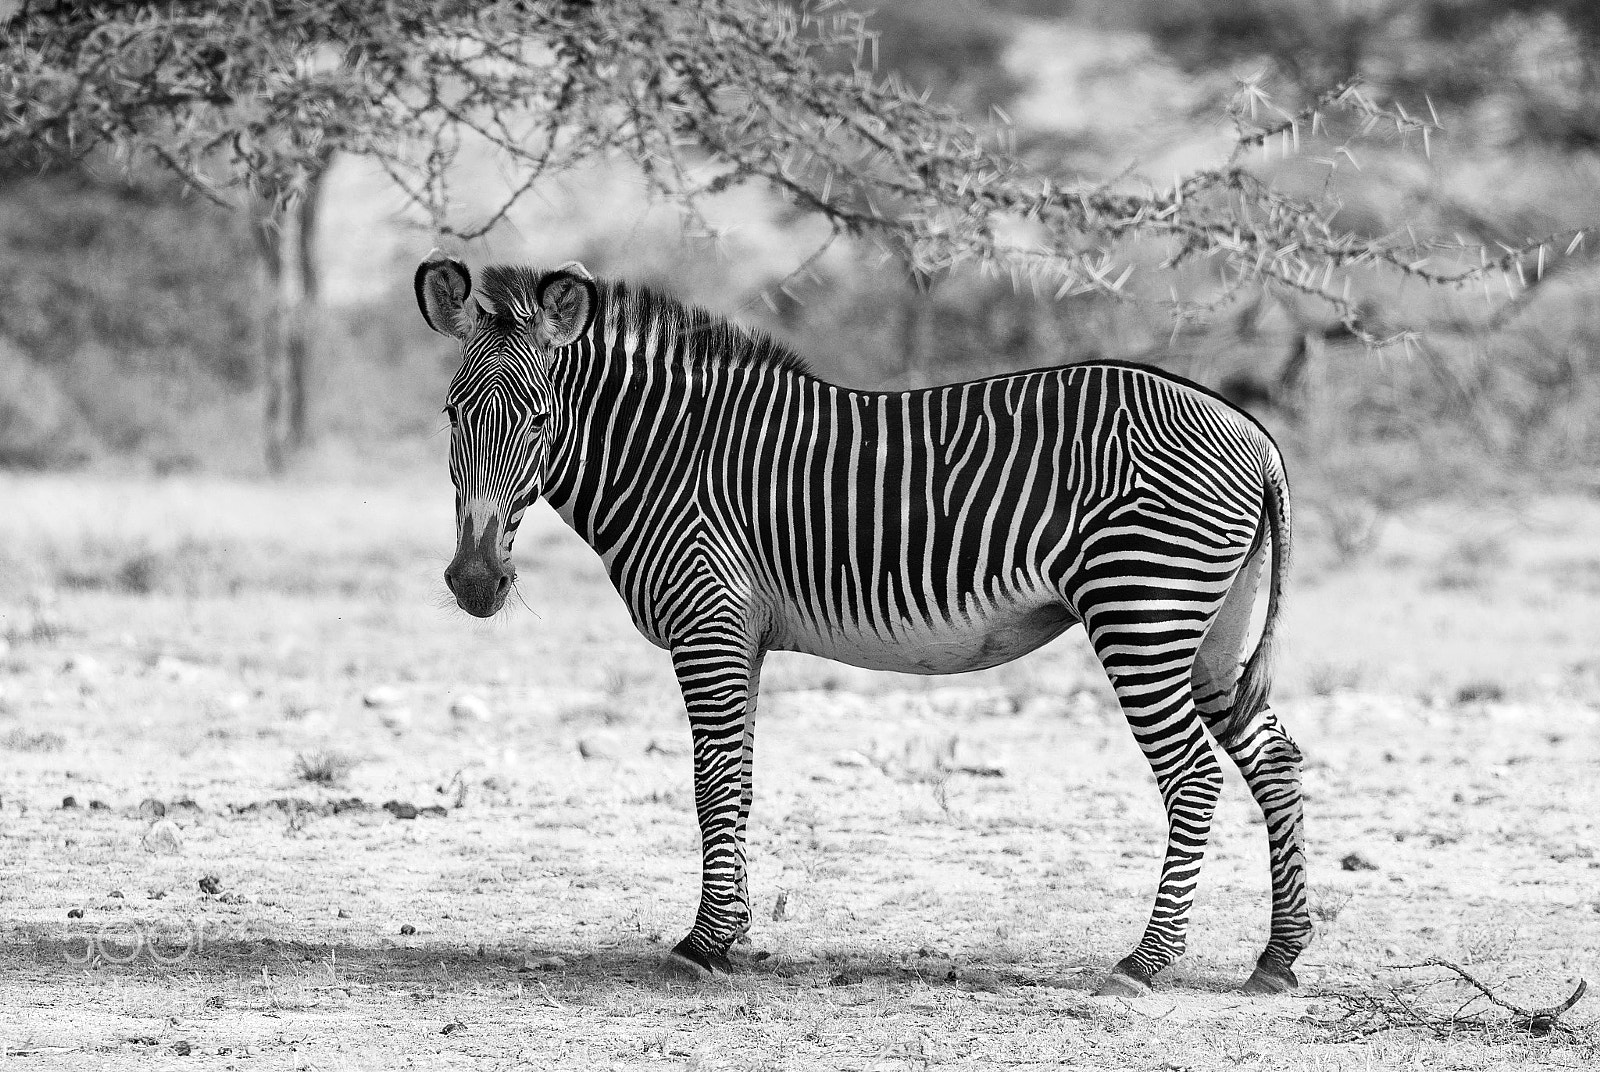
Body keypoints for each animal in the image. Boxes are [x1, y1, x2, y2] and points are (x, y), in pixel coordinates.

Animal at [415, 251, 1310, 997]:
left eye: (538, 420)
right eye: (452, 415)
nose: (476, 582)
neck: (668, 455)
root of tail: (1250, 430)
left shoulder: (708, 623)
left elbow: (711, 783)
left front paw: (703, 945)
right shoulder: (742, 636)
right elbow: (740, 782)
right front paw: (734, 937)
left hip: (1141, 608)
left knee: (1193, 774)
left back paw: (1145, 962)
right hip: (1213, 632)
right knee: (1274, 758)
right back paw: (1278, 958)